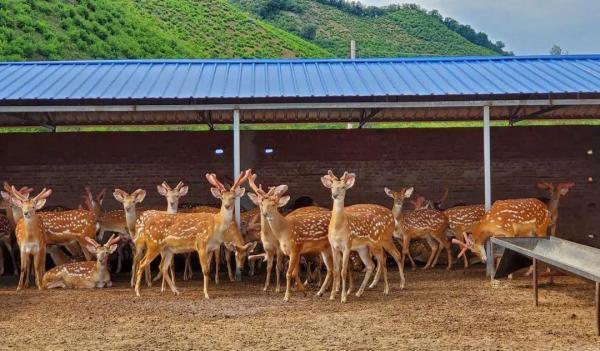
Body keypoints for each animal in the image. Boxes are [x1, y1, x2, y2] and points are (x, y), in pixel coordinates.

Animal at [134, 171, 255, 300]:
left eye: (233, 197)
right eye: (222, 198)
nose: (227, 205)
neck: (216, 225)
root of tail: (146, 225)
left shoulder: (211, 248)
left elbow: (209, 267)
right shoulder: (201, 243)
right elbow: (205, 270)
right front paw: (206, 294)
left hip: (168, 249)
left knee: (162, 267)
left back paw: (176, 291)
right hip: (154, 244)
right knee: (142, 263)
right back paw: (138, 292)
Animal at [322, 172, 406, 304]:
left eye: (343, 187)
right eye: (332, 187)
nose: (334, 195)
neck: (338, 228)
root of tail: (392, 217)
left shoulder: (347, 245)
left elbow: (343, 270)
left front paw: (343, 297)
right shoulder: (334, 247)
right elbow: (336, 271)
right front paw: (332, 295)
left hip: (379, 241)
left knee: (386, 259)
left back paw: (388, 289)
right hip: (364, 248)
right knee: (371, 265)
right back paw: (359, 292)